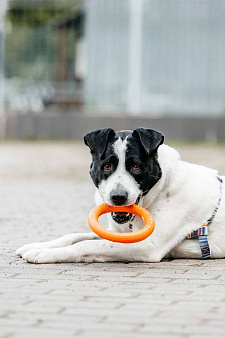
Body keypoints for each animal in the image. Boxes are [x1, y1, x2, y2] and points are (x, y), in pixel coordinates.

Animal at [17, 128, 225, 262]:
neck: (161, 188)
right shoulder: (117, 233)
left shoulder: (146, 244)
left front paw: (43, 253)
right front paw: (36, 246)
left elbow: (86, 245)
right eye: (107, 166)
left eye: (136, 167)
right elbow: (76, 236)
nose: (118, 197)